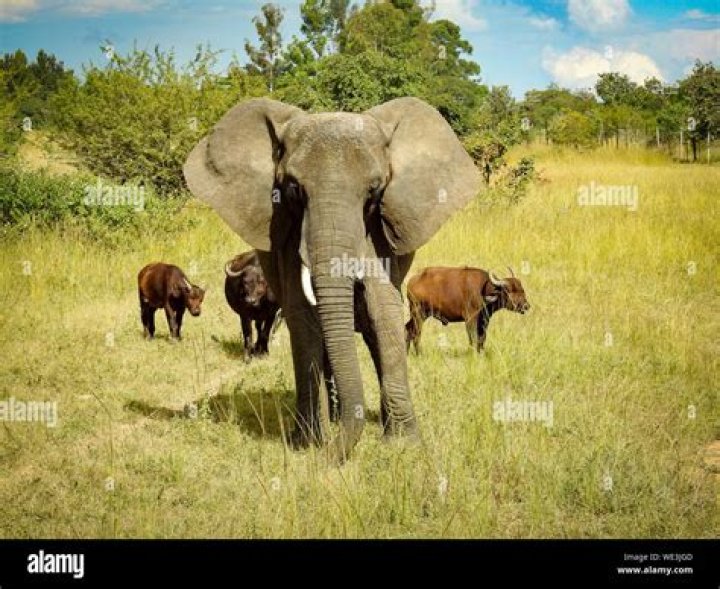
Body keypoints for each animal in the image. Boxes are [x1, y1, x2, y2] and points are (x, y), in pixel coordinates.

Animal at [183, 97, 480, 461]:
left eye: (375, 191)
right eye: (293, 189)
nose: (332, 452)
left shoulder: (377, 232)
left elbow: (383, 311)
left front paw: (403, 446)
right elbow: (302, 316)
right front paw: (306, 445)